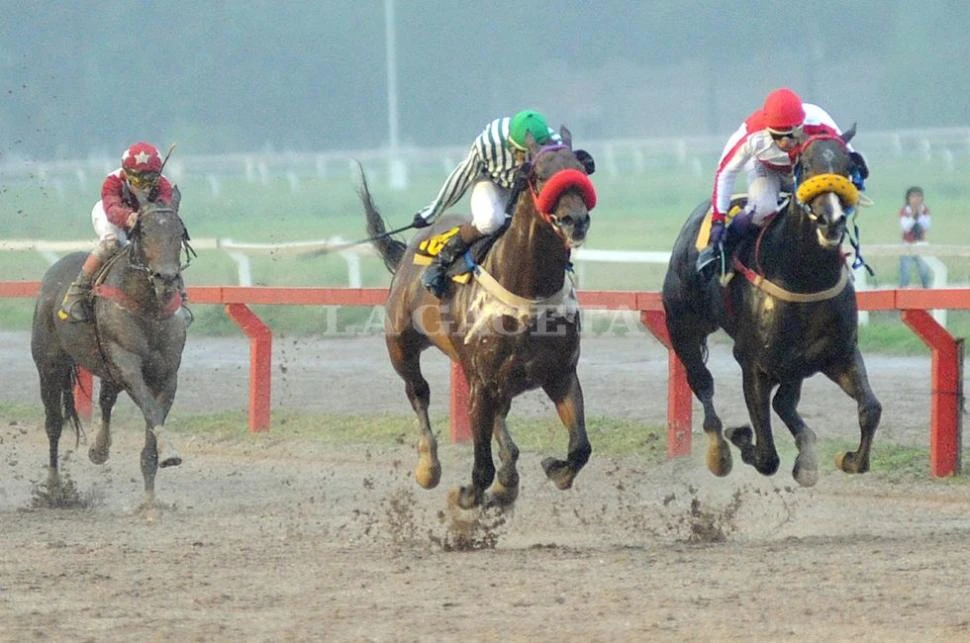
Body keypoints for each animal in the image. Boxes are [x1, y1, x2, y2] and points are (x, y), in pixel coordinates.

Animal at [31, 191, 190, 508]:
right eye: (144, 231)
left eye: (178, 233)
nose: (166, 278)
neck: (148, 307)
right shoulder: (127, 363)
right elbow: (149, 407)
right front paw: (169, 451)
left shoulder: (167, 375)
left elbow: (153, 418)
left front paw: (150, 499)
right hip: (49, 365)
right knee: (53, 423)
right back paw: (54, 488)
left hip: (105, 367)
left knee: (105, 399)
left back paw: (99, 448)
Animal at [360, 128, 592, 510]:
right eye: (539, 175)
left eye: (582, 168)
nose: (576, 220)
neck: (528, 290)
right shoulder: (480, 381)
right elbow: (480, 466)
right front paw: (468, 494)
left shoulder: (560, 374)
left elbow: (580, 448)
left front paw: (553, 469)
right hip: (401, 347)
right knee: (418, 392)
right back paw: (430, 466)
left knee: (500, 416)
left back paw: (508, 476)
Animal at [660, 127, 880, 488]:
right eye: (805, 166)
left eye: (849, 167)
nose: (831, 220)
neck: (803, 277)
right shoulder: (753, 363)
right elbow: (766, 456)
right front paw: (739, 437)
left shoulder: (839, 354)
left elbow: (870, 409)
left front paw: (848, 459)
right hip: (683, 327)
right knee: (703, 383)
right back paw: (719, 450)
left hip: (795, 364)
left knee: (784, 402)